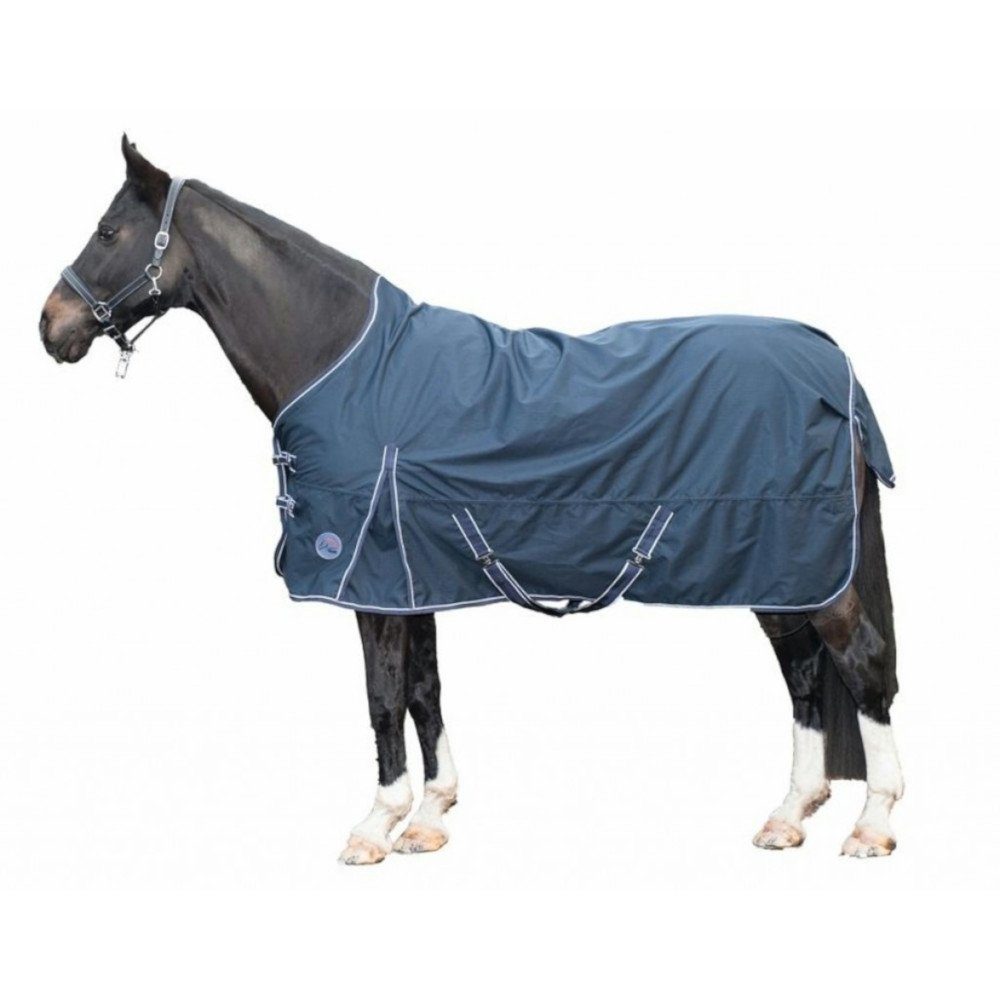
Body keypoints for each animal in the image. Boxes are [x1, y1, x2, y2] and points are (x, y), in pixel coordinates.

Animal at [38, 137, 903, 863]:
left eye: (108, 233)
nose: (51, 326)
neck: (346, 365)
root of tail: (835, 366)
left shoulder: (370, 581)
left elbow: (382, 697)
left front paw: (374, 826)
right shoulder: (412, 576)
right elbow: (424, 692)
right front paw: (429, 816)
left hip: (804, 567)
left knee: (861, 664)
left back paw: (872, 824)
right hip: (778, 569)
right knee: (802, 672)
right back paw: (789, 815)